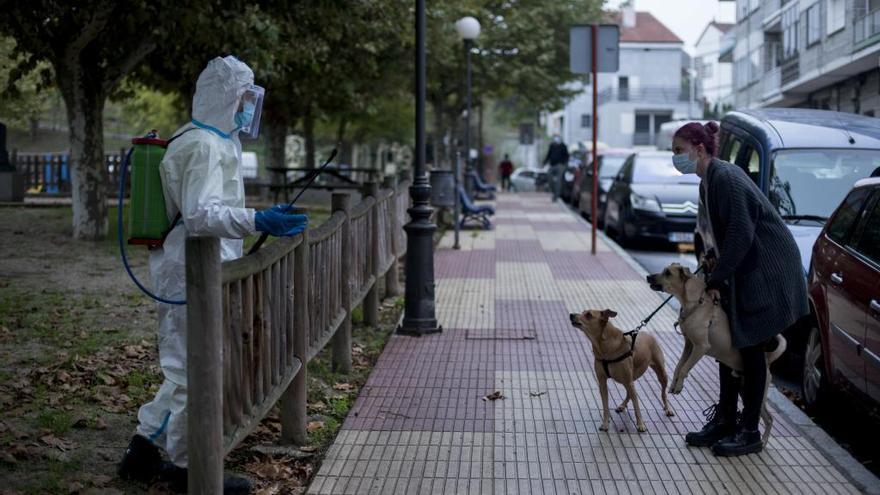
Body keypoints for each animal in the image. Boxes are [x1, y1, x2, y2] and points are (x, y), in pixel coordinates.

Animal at [648, 266, 784, 444]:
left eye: (668, 273)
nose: (648, 277)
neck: (694, 304)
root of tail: (767, 360)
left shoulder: (700, 347)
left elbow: (685, 368)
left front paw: (679, 385)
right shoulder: (688, 345)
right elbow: (679, 366)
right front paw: (674, 384)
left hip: (756, 391)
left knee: (769, 418)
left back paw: (761, 441)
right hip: (744, 389)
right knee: (767, 417)